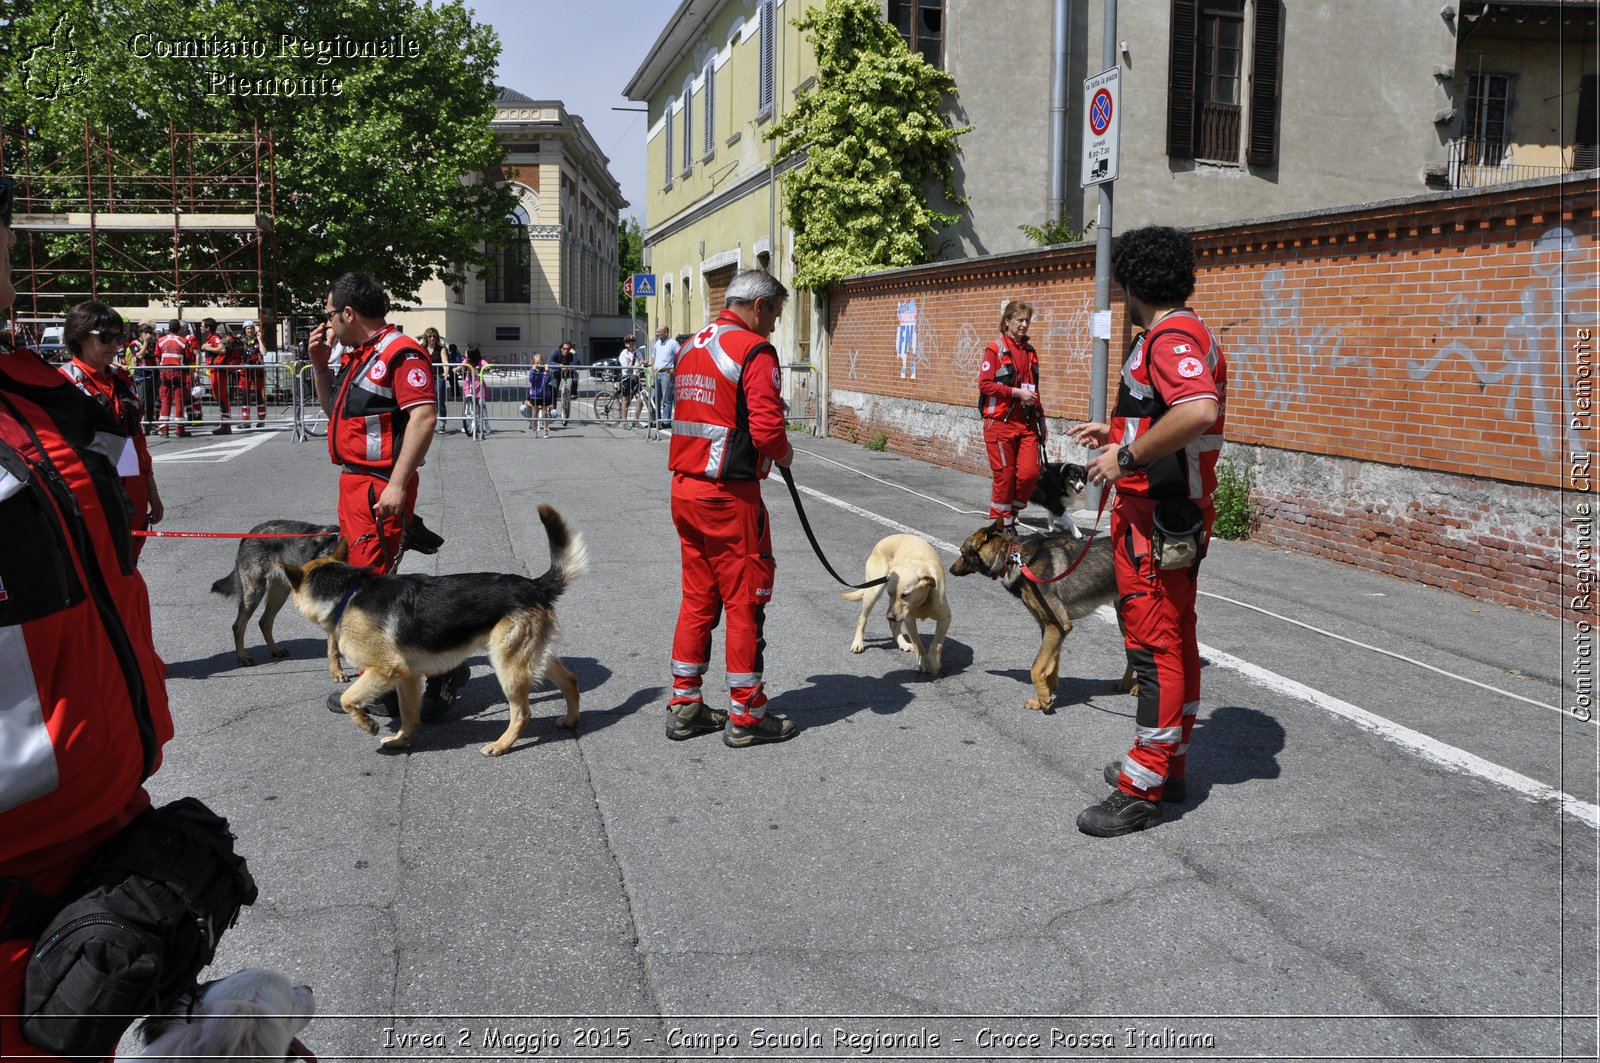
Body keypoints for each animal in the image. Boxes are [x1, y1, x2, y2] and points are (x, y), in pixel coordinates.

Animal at [211, 515, 451, 672]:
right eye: (418, 525)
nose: (441, 540)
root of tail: (248, 534)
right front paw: (339, 672)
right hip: (255, 591)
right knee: (239, 625)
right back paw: (243, 657)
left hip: (281, 590)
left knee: (264, 621)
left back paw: (275, 650)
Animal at [281, 505, 588, 755]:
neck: (346, 591)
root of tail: (534, 585)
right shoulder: (406, 676)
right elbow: (408, 715)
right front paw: (401, 740)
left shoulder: (385, 670)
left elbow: (348, 699)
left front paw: (367, 723)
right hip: (532, 658)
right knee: (571, 680)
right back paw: (571, 719)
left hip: (508, 667)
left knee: (523, 713)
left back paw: (501, 745)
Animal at [851, 534, 947, 675]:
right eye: (889, 592)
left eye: (905, 594)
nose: (889, 617)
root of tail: (887, 537)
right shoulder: (909, 620)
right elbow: (918, 644)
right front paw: (924, 663)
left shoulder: (945, 619)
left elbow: (937, 644)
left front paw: (934, 663)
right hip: (874, 592)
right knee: (862, 619)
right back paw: (858, 643)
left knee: (894, 626)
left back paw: (903, 644)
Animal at [947, 521, 1139, 714]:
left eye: (962, 553)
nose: (950, 570)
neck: (1012, 558)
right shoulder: (1050, 627)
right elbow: (1051, 666)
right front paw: (1045, 695)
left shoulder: (1058, 625)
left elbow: (1036, 668)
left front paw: (1044, 699)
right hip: (1123, 620)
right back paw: (1126, 683)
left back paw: (1137, 687)